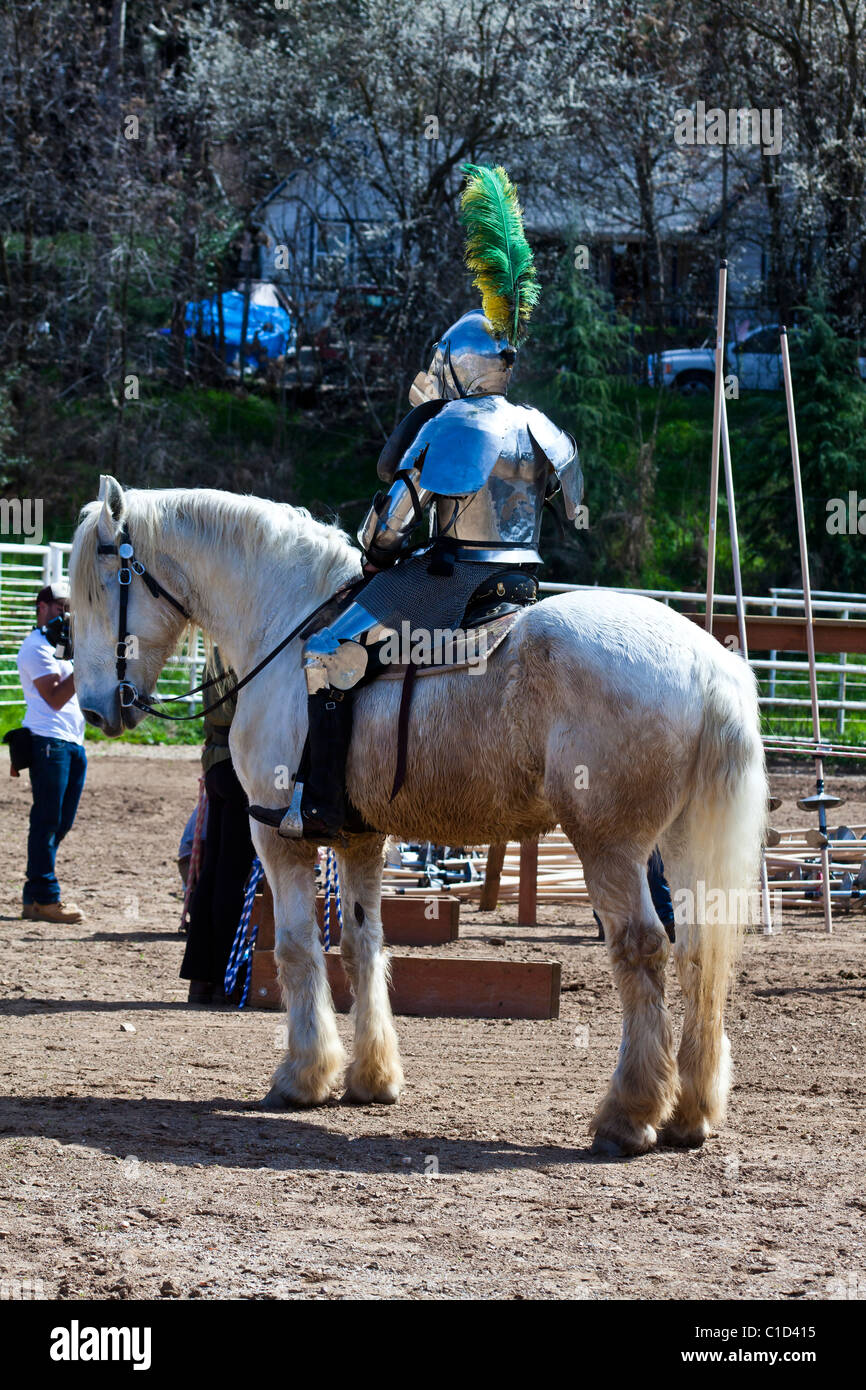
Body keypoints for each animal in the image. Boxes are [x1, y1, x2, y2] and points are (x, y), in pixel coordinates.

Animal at [71, 478, 767, 1150]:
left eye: (100, 585)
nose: (98, 708)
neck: (286, 624)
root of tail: (708, 665)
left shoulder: (277, 835)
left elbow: (296, 948)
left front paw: (302, 1075)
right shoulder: (359, 840)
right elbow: (362, 945)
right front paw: (370, 1077)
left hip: (609, 847)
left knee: (642, 949)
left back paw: (628, 1114)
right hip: (680, 843)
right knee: (699, 951)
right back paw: (691, 1113)